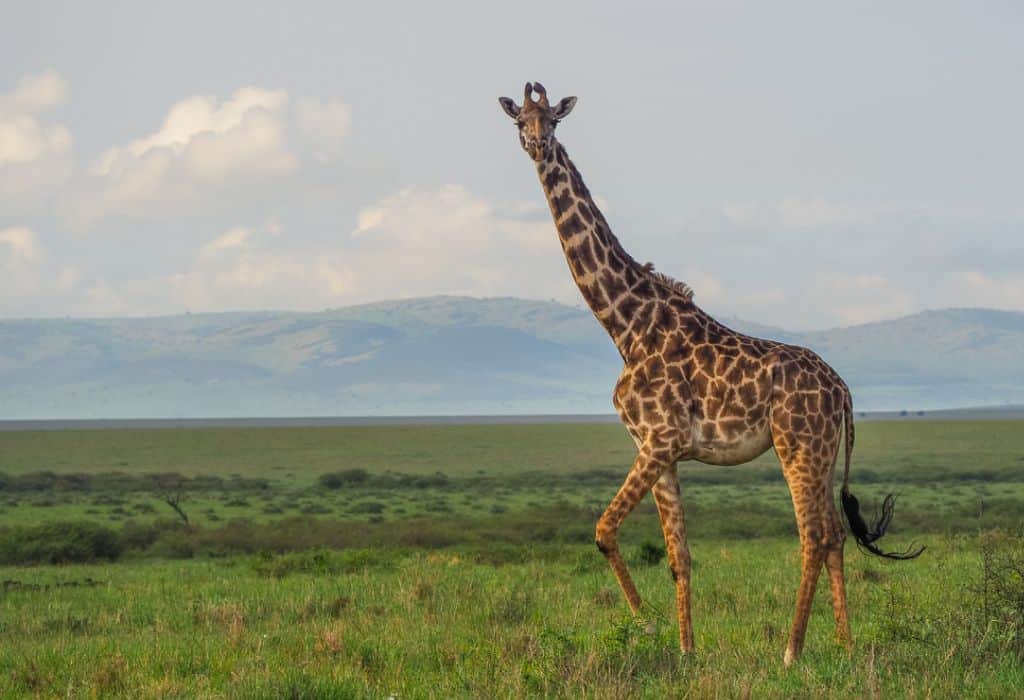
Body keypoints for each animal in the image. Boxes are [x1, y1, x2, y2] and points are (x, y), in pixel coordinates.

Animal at [499, 83, 925, 667]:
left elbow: (604, 531)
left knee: (814, 535)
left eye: (554, 121)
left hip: (797, 446)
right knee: (836, 533)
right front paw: (685, 649)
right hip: (822, 451)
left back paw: (792, 651)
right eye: (520, 121)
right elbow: (679, 555)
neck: (625, 324)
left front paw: (649, 627)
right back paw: (846, 645)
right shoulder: (658, 448)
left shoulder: (660, 439)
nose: (538, 146)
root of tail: (842, 391)